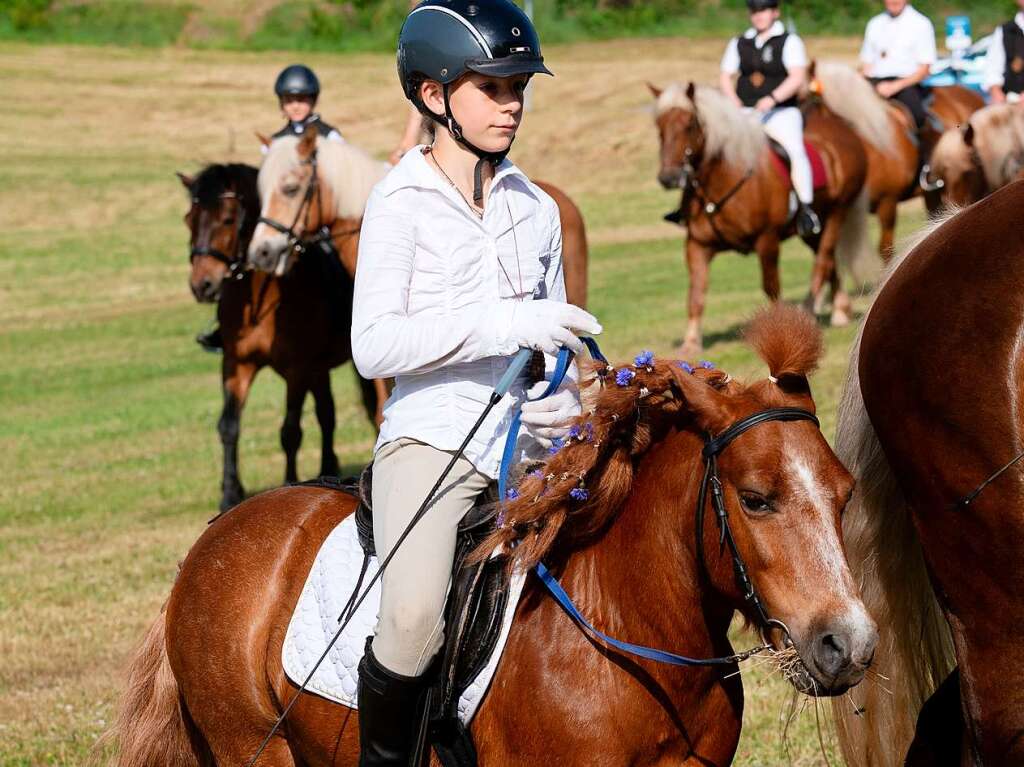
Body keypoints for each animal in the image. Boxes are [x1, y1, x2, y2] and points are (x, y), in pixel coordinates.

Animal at [114, 303, 880, 765]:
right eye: (756, 499)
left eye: (844, 493)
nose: (849, 645)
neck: (626, 624)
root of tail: (212, 541)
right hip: (253, 743)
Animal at [180, 162, 380, 512]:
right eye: (189, 219)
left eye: (227, 219)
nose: (202, 285)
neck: (261, 296)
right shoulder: (236, 364)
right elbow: (228, 426)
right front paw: (229, 493)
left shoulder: (297, 370)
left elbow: (290, 431)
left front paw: (289, 484)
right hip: (318, 369)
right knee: (326, 413)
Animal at [651, 80, 868, 356]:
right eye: (659, 126)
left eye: (690, 124)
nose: (669, 177)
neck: (723, 179)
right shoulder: (697, 245)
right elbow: (696, 294)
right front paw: (691, 343)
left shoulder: (767, 240)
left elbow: (770, 286)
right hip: (812, 228)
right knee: (829, 260)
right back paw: (840, 310)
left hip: (837, 214)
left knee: (823, 259)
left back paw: (810, 312)